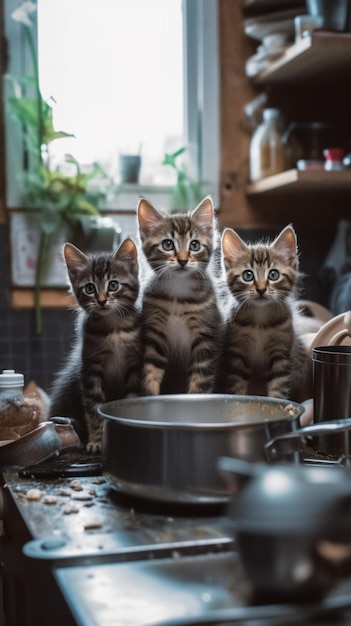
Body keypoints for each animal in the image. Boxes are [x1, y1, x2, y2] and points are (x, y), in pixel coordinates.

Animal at [220, 224, 314, 400]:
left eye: (273, 274)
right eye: (248, 275)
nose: (261, 289)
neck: (260, 319)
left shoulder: (281, 354)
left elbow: (279, 385)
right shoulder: (237, 353)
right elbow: (237, 385)